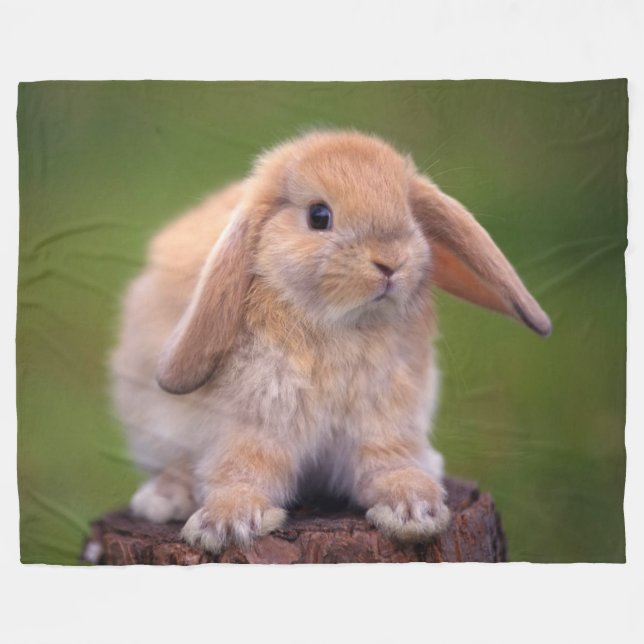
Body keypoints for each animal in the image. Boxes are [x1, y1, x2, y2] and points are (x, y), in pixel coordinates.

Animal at [110, 130, 551, 554]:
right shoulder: (254, 422)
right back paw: (164, 499)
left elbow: (388, 464)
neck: (340, 324)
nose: (391, 262)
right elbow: (243, 469)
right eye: (319, 216)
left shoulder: (384, 420)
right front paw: (223, 525)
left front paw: (414, 510)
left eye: (409, 213)